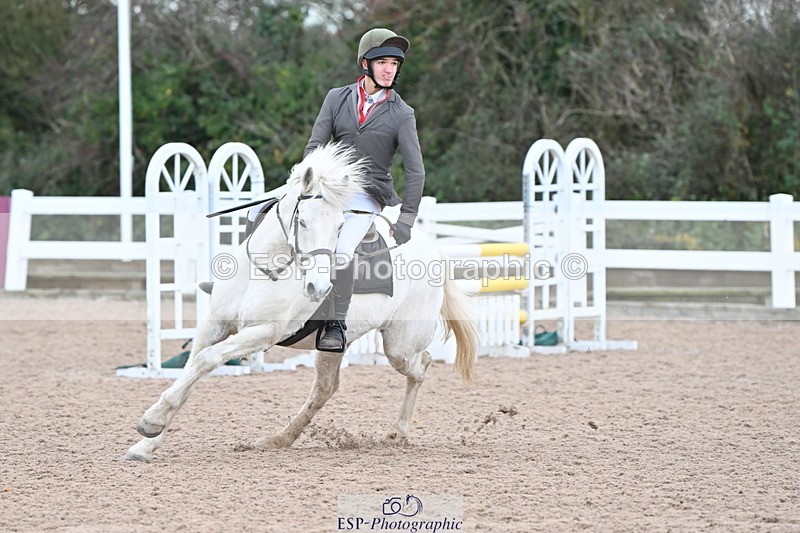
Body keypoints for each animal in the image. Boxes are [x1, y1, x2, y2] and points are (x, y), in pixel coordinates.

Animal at [124, 143, 477, 462]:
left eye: (340, 226)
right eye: (302, 221)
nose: (318, 287)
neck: (265, 267)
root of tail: (432, 249)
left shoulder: (263, 332)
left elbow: (206, 360)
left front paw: (151, 421)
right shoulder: (215, 323)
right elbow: (192, 367)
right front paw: (148, 442)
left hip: (399, 345)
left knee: (421, 364)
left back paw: (398, 432)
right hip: (337, 344)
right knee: (326, 388)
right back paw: (279, 439)